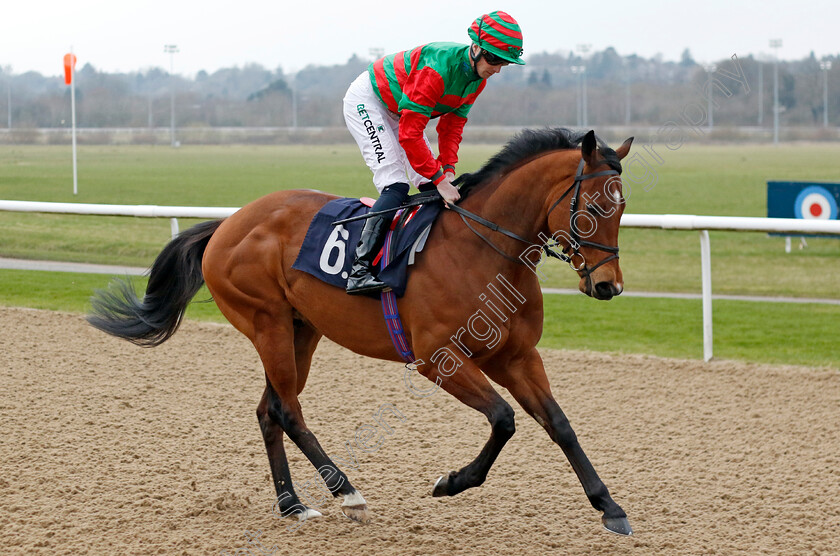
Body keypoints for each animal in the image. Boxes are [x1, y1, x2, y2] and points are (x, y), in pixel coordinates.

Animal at [87, 128, 636, 536]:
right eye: (592, 207)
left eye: (624, 205)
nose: (608, 285)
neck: (483, 250)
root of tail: (227, 224)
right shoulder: (439, 358)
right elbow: (503, 420)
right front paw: (451, 481)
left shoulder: (517, 356)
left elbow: (559, 424)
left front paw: (610, 507)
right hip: (266, 323)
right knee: (288, 410)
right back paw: (346, 492)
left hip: (300, 330)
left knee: (269, 410)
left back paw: (292, 504)